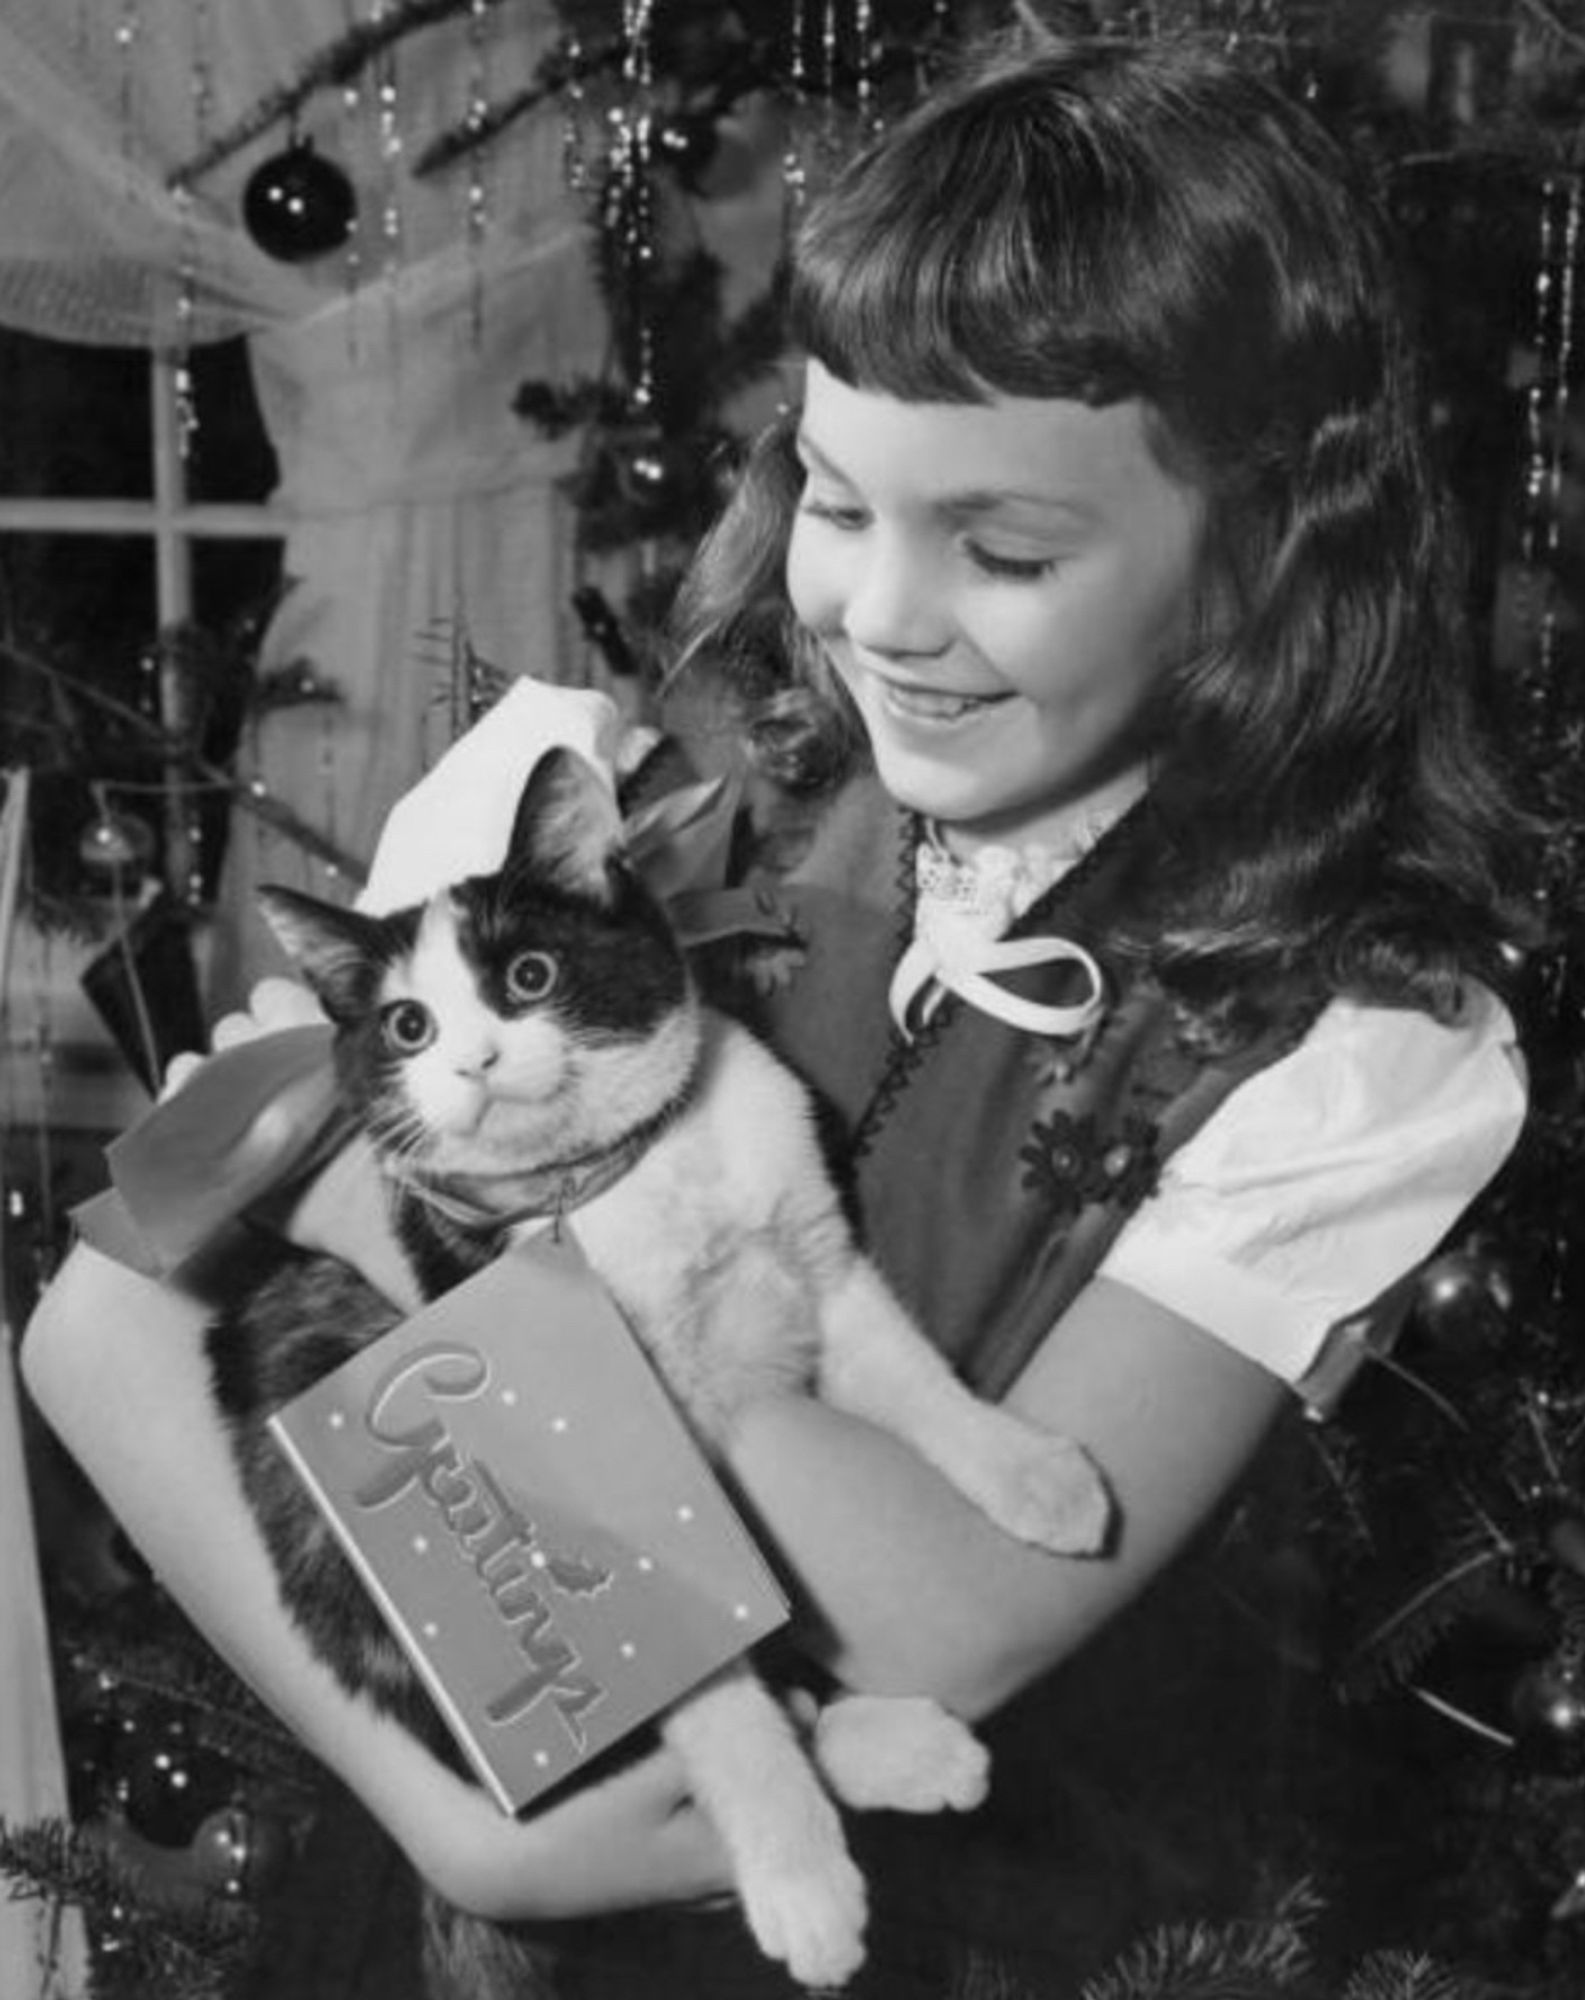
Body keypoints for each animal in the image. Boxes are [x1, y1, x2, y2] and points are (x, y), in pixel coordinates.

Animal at [207, 744, 1104, 1992]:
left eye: (531, 973)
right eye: (406, 1023)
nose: (474, 1059)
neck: (630, 1178)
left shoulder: (821, 1265)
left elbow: (917, 1377)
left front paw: (1036, 1474)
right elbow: (711, 1694)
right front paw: (795, 1871)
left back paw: (907, 1746)